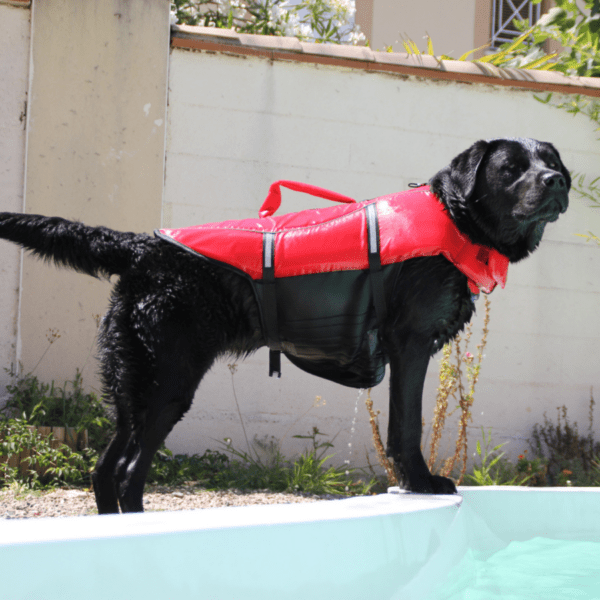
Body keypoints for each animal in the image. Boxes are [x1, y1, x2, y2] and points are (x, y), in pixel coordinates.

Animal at [0, 138, 568, 512]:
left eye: (553, 160)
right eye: (512, 167)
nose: (558, 181)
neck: (452, 217)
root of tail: (143, 246)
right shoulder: (410, 346)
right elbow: (406, 426)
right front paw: (422, 484)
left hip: (132, 382)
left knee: (105, 469)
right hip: (169, 381)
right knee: (127, 474)